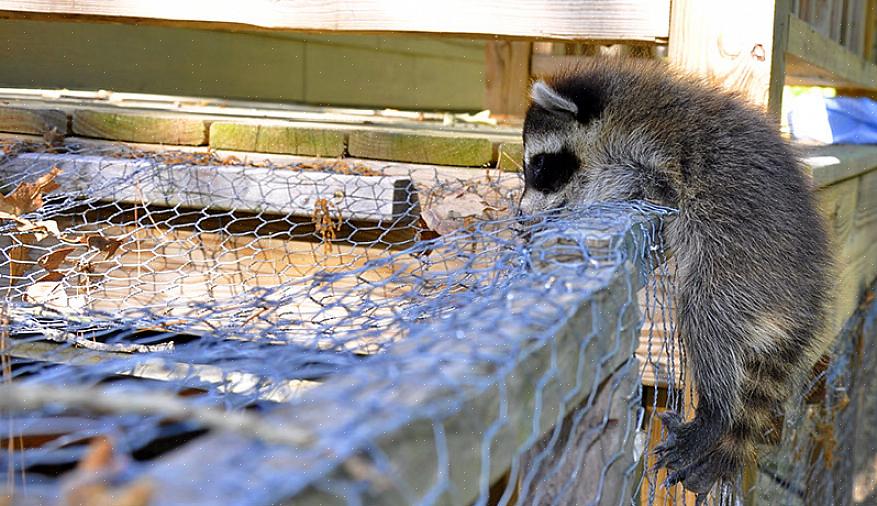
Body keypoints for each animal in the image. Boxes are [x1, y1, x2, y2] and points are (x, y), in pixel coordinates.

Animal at [516, 58, 832, 498]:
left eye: (540, 166)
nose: (520, 215)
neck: (614, 112)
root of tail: (807, 296)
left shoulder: (654, 147)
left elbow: (648, 185)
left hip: (745, 263)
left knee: (706, 312)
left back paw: (716, 410)